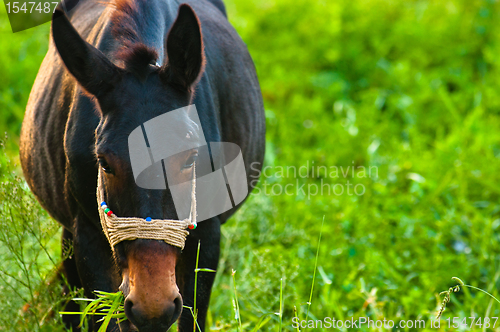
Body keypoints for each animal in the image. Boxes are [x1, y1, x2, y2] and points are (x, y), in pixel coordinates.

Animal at [20, 0, 266, 330]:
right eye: (104, 163)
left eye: (191, 158)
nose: (153, 306)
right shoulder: (87, 234)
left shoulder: (207, 233)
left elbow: (192, 316)